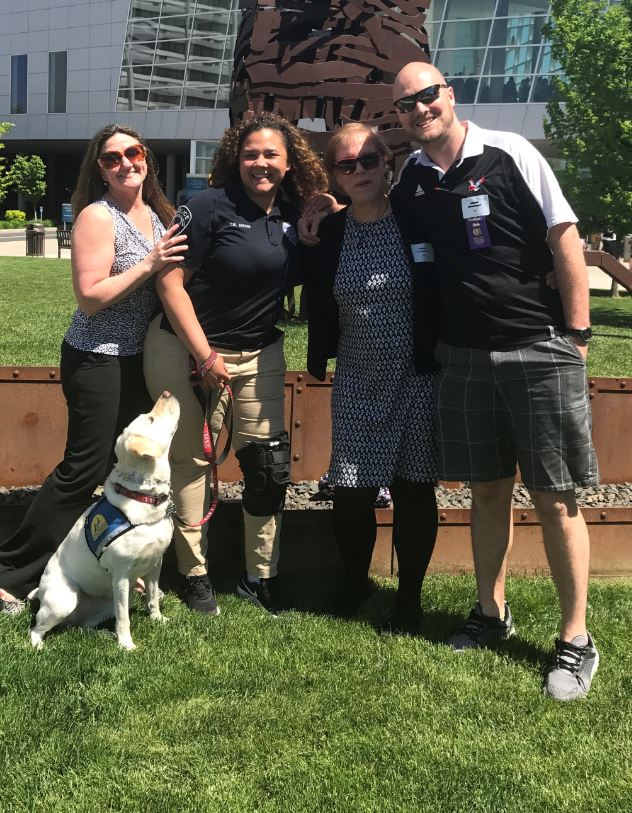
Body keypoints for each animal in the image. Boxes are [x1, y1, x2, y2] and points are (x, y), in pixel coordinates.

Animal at [30, 390, 180, 652]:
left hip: (109, 600)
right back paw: (40, 647)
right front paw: (127, 645)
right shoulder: (121, 574)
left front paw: (158, 619)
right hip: (65, 600)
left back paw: (103, 635)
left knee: (85, 625)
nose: (166, 392)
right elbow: (124, 618)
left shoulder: (155, 563)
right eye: (151, 419)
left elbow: (152, 597)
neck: (144, 496)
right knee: (36, 628)